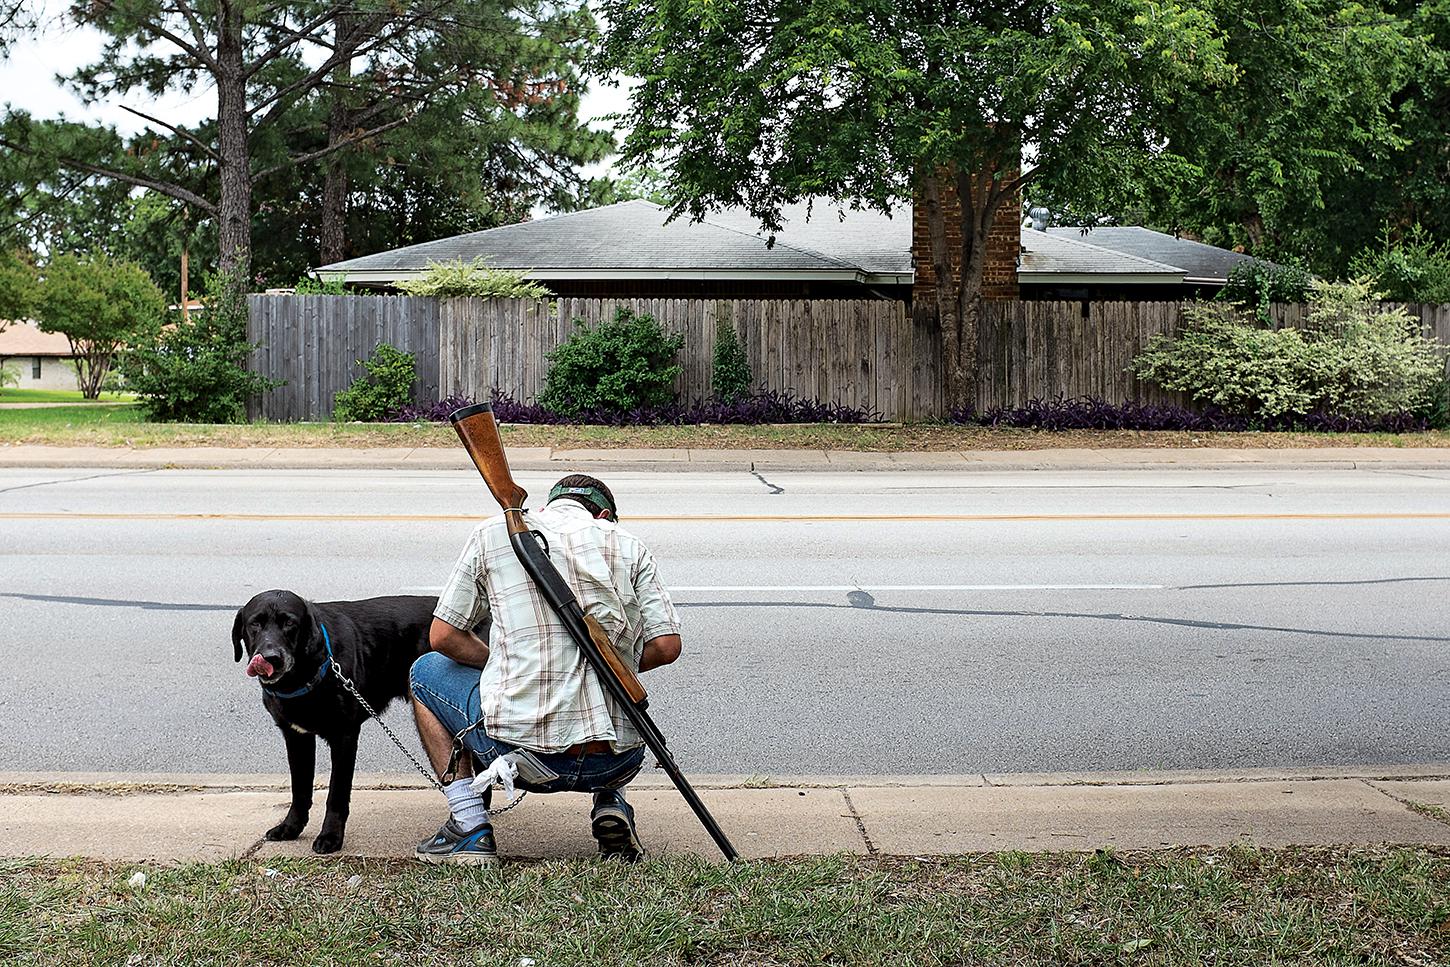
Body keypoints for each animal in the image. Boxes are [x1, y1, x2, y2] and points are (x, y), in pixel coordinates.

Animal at [229, 591, 435, 852]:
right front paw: (291, 827)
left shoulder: (344, 736)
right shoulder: (296, 736)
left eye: (290, 623)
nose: (271, 657)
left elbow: (336, 794)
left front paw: (330, 836)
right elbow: (300, 789)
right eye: (255, 623)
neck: (302, 675)